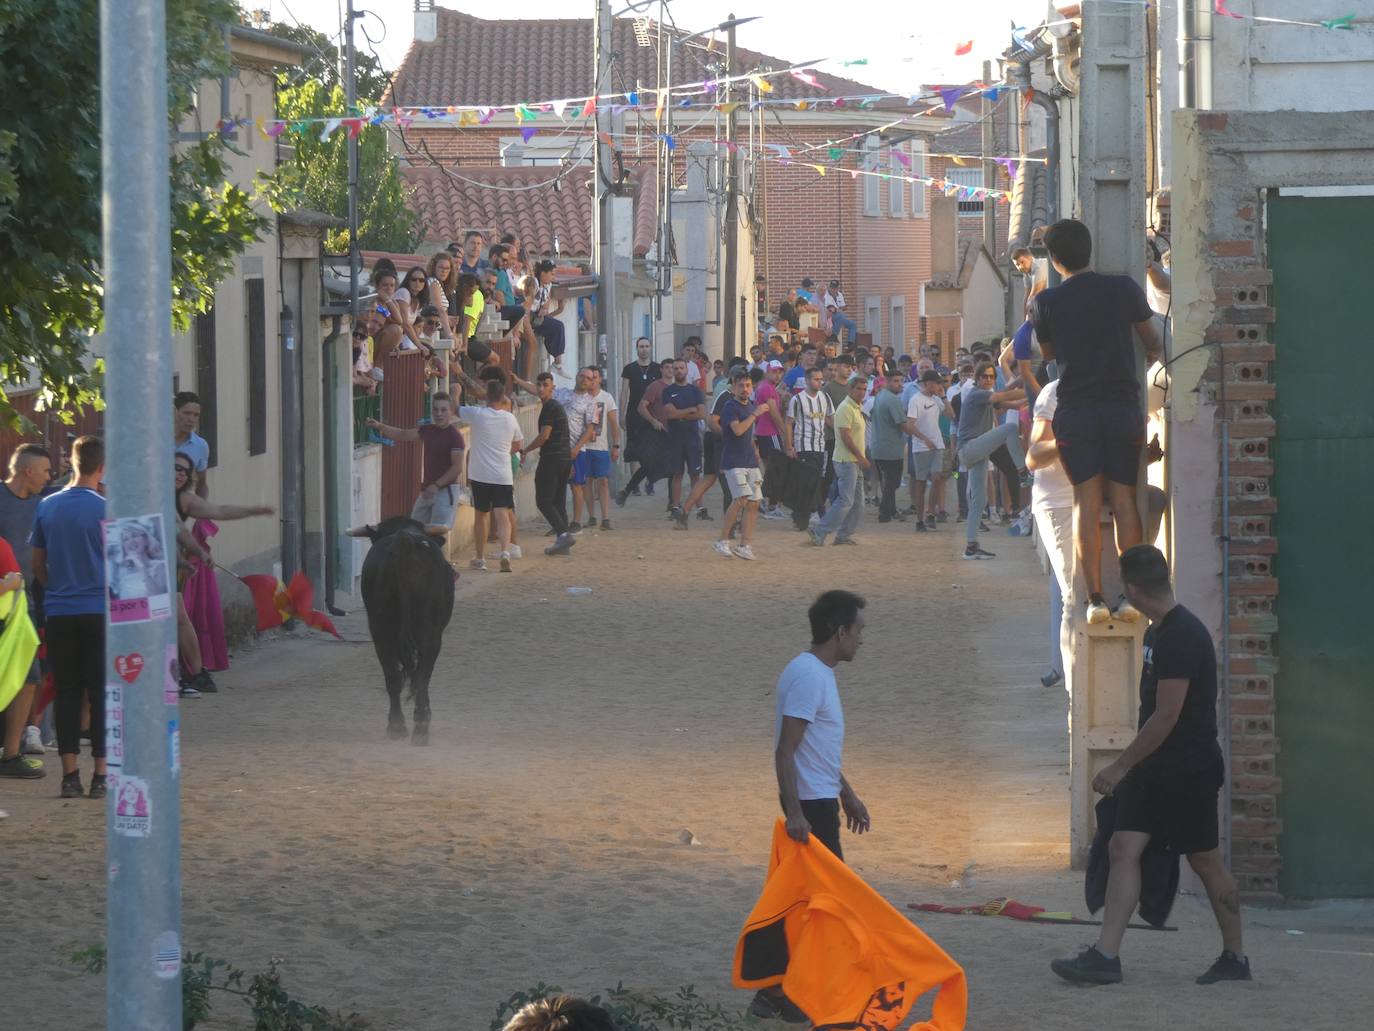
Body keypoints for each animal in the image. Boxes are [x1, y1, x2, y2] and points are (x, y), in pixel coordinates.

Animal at [359, 519, 456, 747]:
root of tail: (404, 541)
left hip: (381, 629)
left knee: (393, 677)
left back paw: (397, 726)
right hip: (428, 633)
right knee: (420, 678)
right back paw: (420, 727)